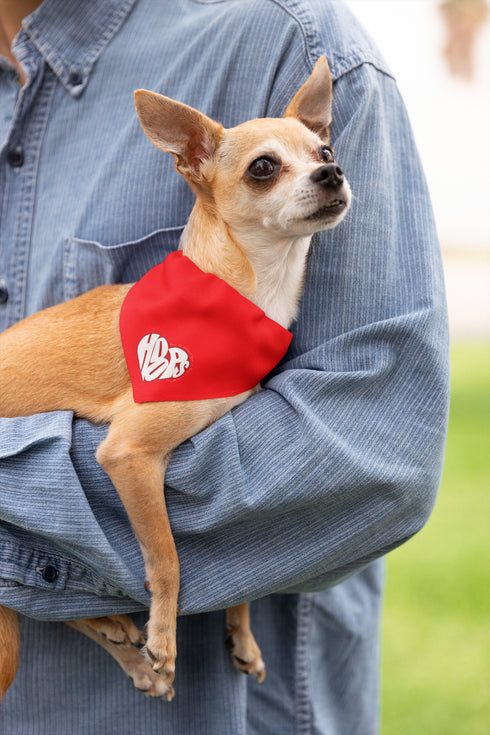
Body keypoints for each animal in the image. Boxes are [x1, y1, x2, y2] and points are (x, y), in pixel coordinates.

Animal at [0, 57, 348, 700]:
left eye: (325, 148)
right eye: (264, 167)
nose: (333, 172)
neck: (244, 294)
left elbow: (241, 573)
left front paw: (240, 632)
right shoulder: (129, 454)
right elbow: (166, 557)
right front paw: (164, 637)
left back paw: (117, 635)